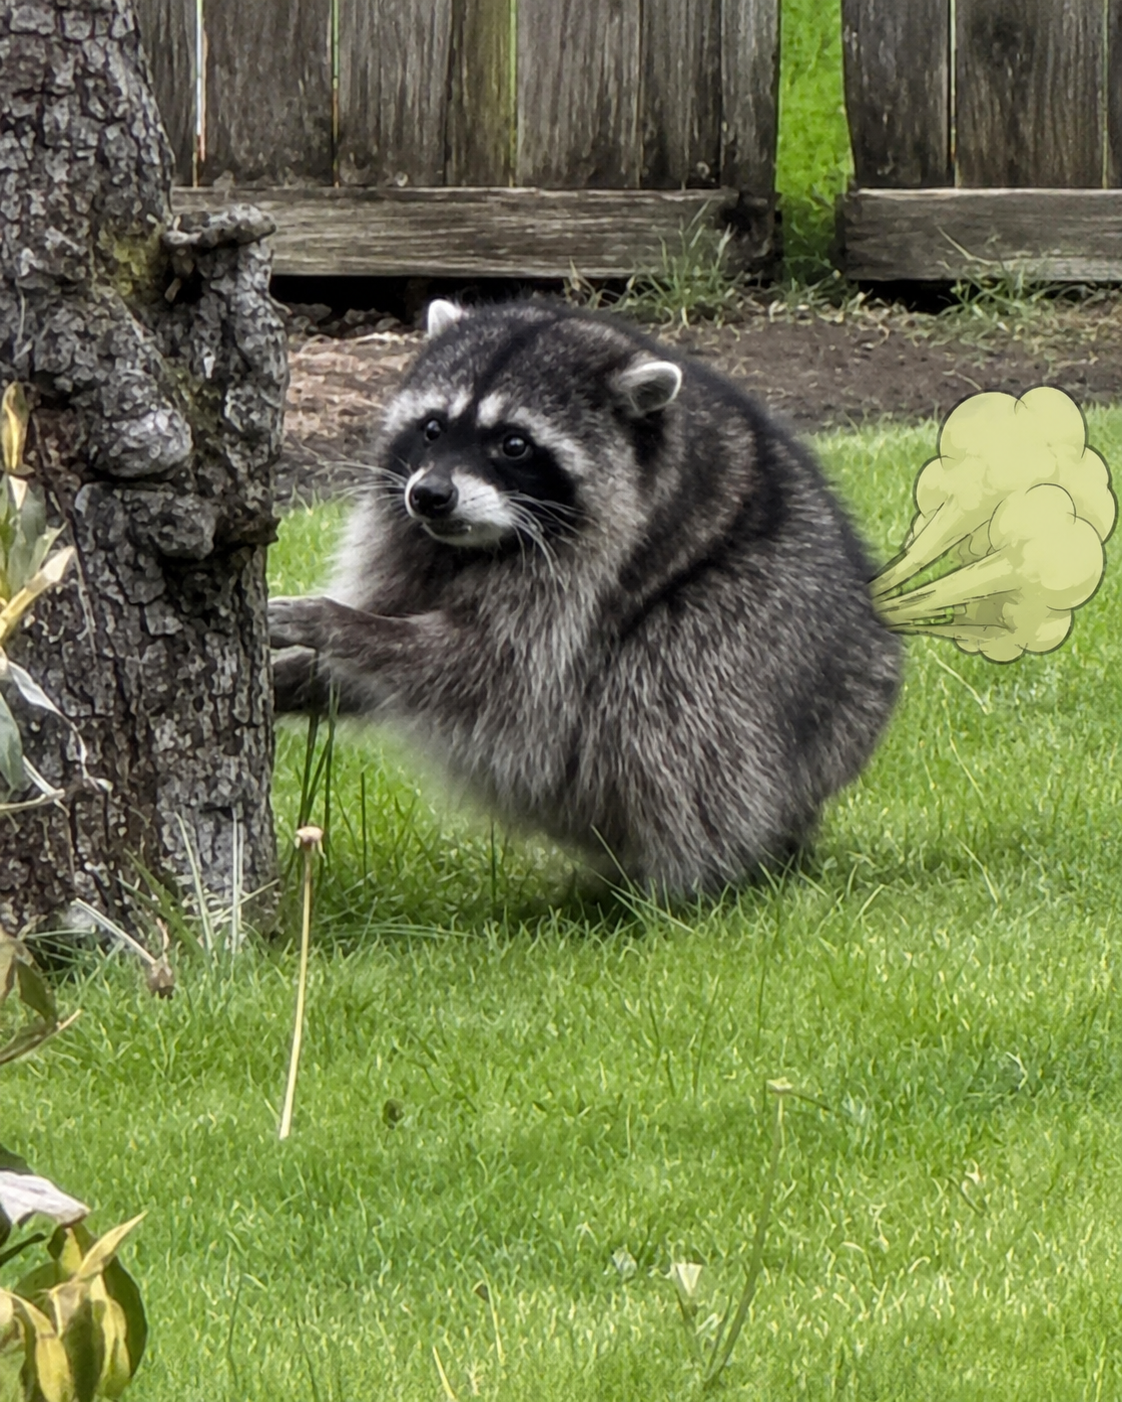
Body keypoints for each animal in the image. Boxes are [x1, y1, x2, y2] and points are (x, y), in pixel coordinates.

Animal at [270, 298, 902, 895]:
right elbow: (375, 662)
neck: (476, 546)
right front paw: (297, 673)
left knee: (672, 691)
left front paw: (339, 624)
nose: (429, 496)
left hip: (768, 637)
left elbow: (491, 670)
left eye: (515, 445)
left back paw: (686, 881)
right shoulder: (407, 538)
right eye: (431, 428)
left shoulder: (587, 572)